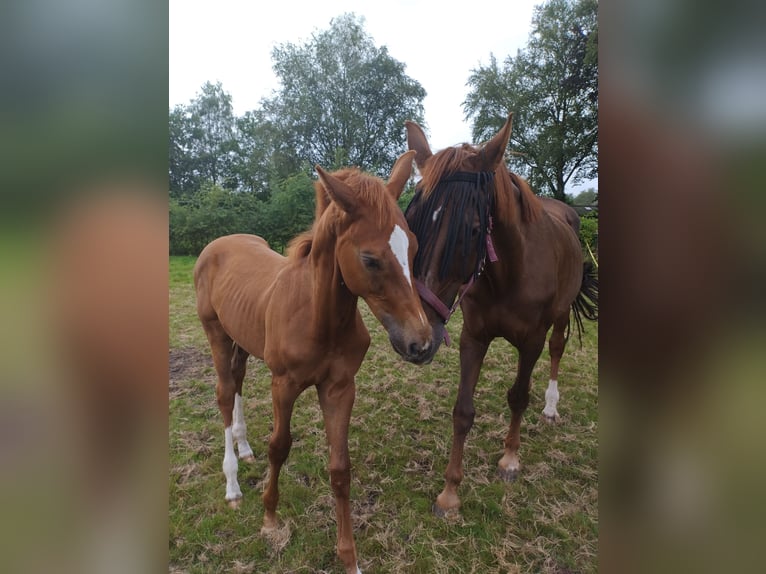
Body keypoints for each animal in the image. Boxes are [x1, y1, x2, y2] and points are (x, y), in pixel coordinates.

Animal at [194, 151, 432, 572]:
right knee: (223, 393)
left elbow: (340, 467)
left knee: (237, 384)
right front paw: (270, 519)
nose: (421, 343)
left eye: (414, 248)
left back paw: (244, 448)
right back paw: (233, 485)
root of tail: (219, 244)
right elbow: (279, 446)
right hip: (216, 334)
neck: (320, 320)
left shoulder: (339, 387)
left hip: (241, 340)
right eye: (370, 259)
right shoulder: (283, 385)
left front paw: (349, 557)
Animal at [404, 115, 596, 516]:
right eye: (412, 220)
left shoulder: (531, 341)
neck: (509, 272)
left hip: (560, 317)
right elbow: (463, 411)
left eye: (474, 230)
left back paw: (551, 408)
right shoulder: (473, 338)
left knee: (557, 350)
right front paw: (450, 492)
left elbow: (519, 396)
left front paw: (509, 459)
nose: (418, 337)